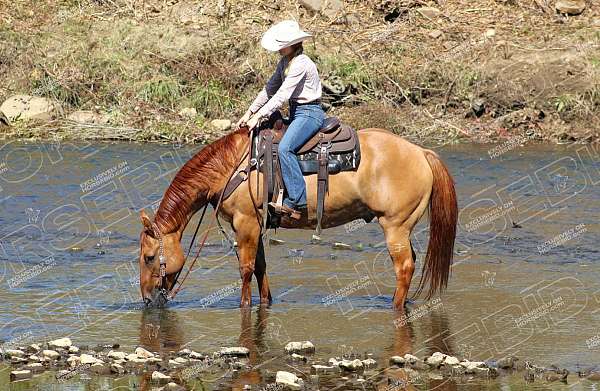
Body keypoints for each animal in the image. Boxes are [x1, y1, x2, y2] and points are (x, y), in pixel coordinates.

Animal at [138, 127, 458, 310]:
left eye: (149, 257)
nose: (147, 299)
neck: (231, 168)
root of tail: (422, 152)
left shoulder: (245, 223)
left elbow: (245, 269)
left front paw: (243, 304)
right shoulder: (257, 224)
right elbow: (260, 268)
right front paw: (266, 301)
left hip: (395, 225)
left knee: (404, 267)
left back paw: (394, 305)